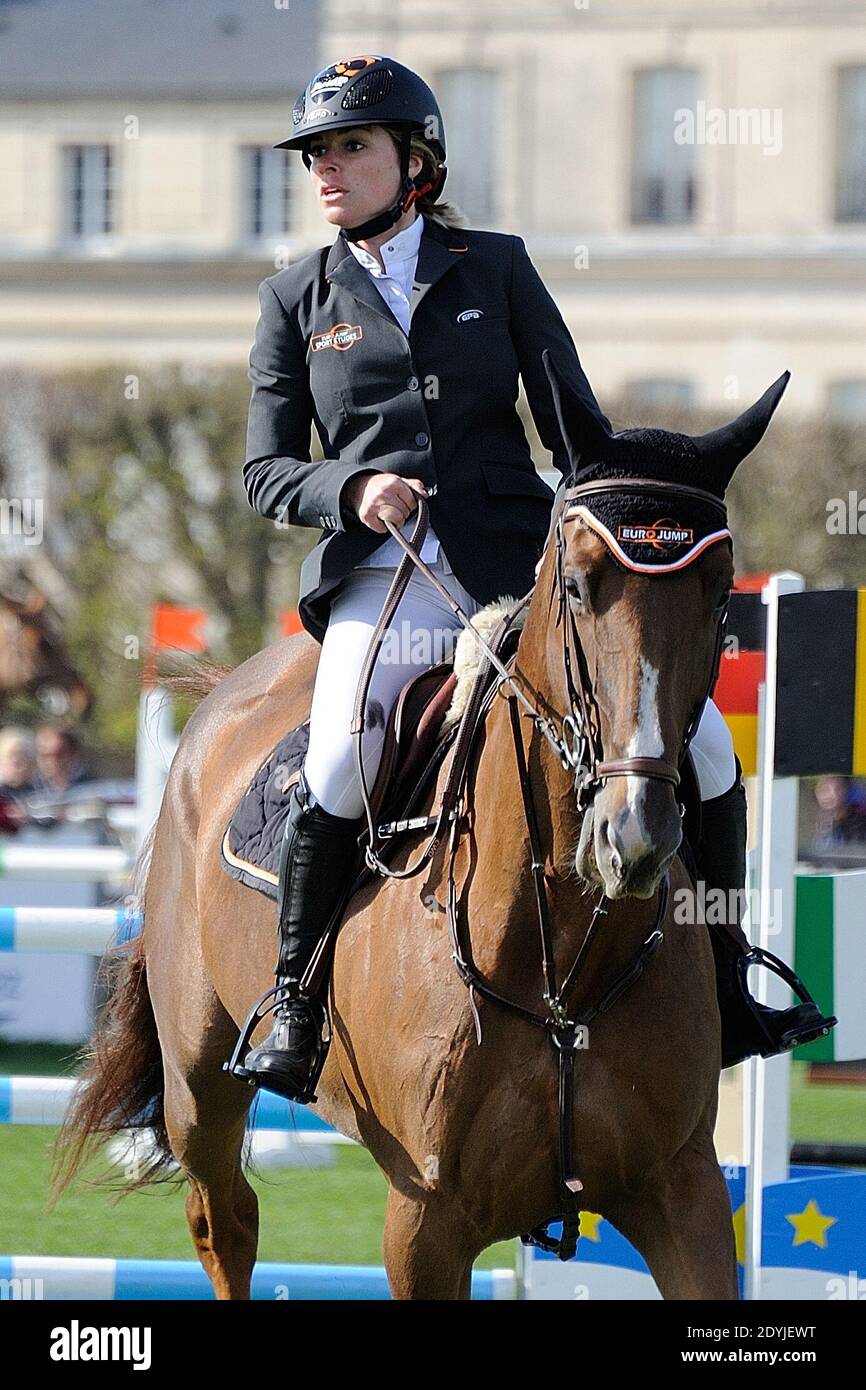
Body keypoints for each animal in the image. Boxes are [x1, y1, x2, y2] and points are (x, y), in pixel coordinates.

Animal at [52, 361, 795, 1301]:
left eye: (720, 592)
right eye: (578, 586)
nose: (632, 838)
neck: (562, 965)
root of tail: (231, 686)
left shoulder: (684, 1193)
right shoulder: (427, 1220)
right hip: (197, 1084)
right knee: (224, 1220)